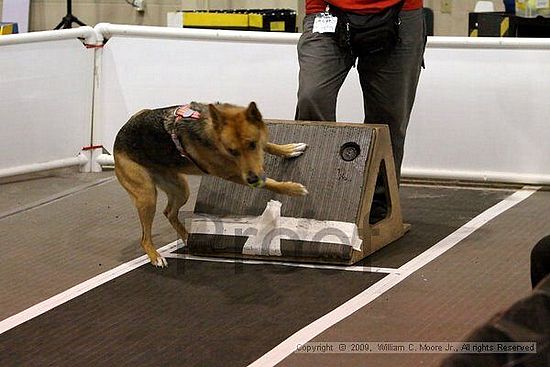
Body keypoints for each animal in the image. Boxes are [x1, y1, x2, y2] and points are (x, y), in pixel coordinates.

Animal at [114, 102, 308, 268]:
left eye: (252, 144)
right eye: (232, 151)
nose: (253, 180)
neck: (211, 134)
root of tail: (118, 139)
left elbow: (268, 145)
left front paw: (288, 150)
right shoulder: (233, 174)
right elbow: (270, 183)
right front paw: (292, 189)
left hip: (180, 189)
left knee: (169, 213)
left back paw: (188, 238)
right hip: (147, 196)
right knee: (145, 237)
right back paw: (155, 256)